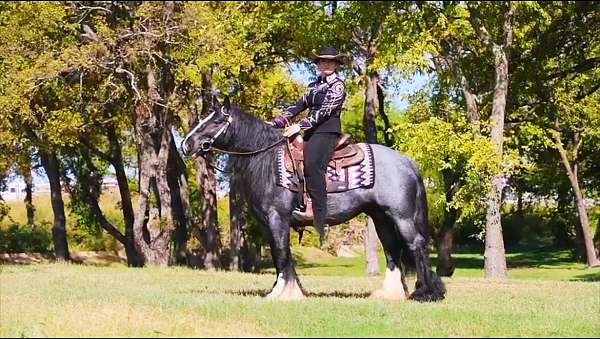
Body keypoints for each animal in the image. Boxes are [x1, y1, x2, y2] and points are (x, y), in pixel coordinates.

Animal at [183, 96, 446, 302]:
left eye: (216, 121)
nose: (186, 144)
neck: (268, 160)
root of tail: (406, 160)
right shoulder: (270, 223)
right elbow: (282, 255)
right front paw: (292, 290)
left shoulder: (277, 218)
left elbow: (281, 253)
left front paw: (280, 293)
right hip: (381, 217)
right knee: (392, 249)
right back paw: (390, 294)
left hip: (402, 217)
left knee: (417, 245)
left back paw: (426, 293)